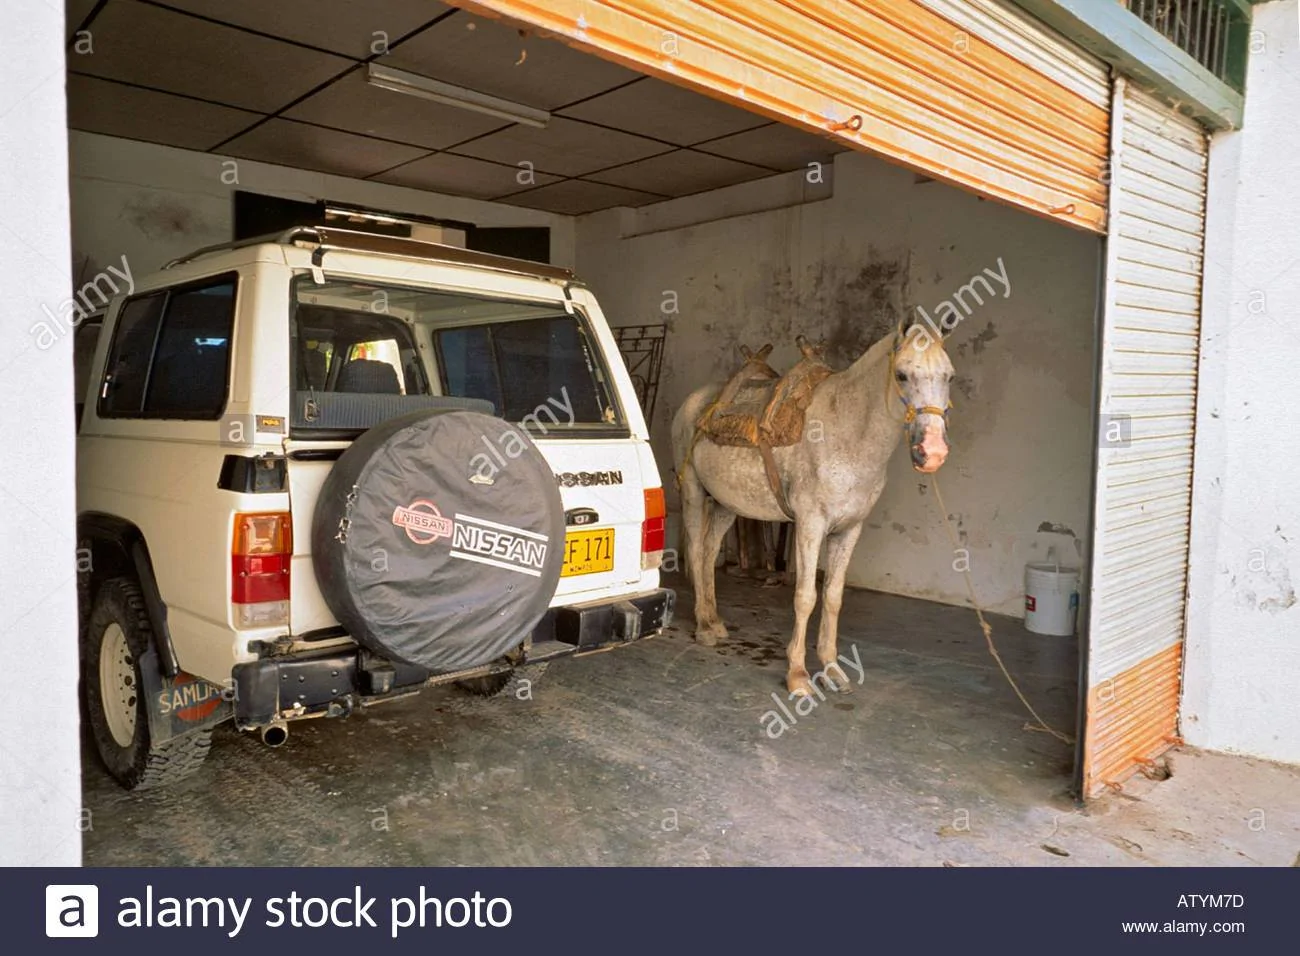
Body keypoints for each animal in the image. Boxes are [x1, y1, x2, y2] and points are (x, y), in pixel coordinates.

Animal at [671, 326, 955, 699]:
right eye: (902, 374)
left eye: (949, 376)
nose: (932, 452)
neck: (847, 431)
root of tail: (693, 403)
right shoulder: (810, 526)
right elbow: (806, 597)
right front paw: (798, 675)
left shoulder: (849, 529)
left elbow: (833, 596)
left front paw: (832, 669)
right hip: (692, 492)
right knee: (694, 549)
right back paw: (703, 627)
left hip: (725, 504)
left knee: (708, 553)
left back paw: (714, 621)